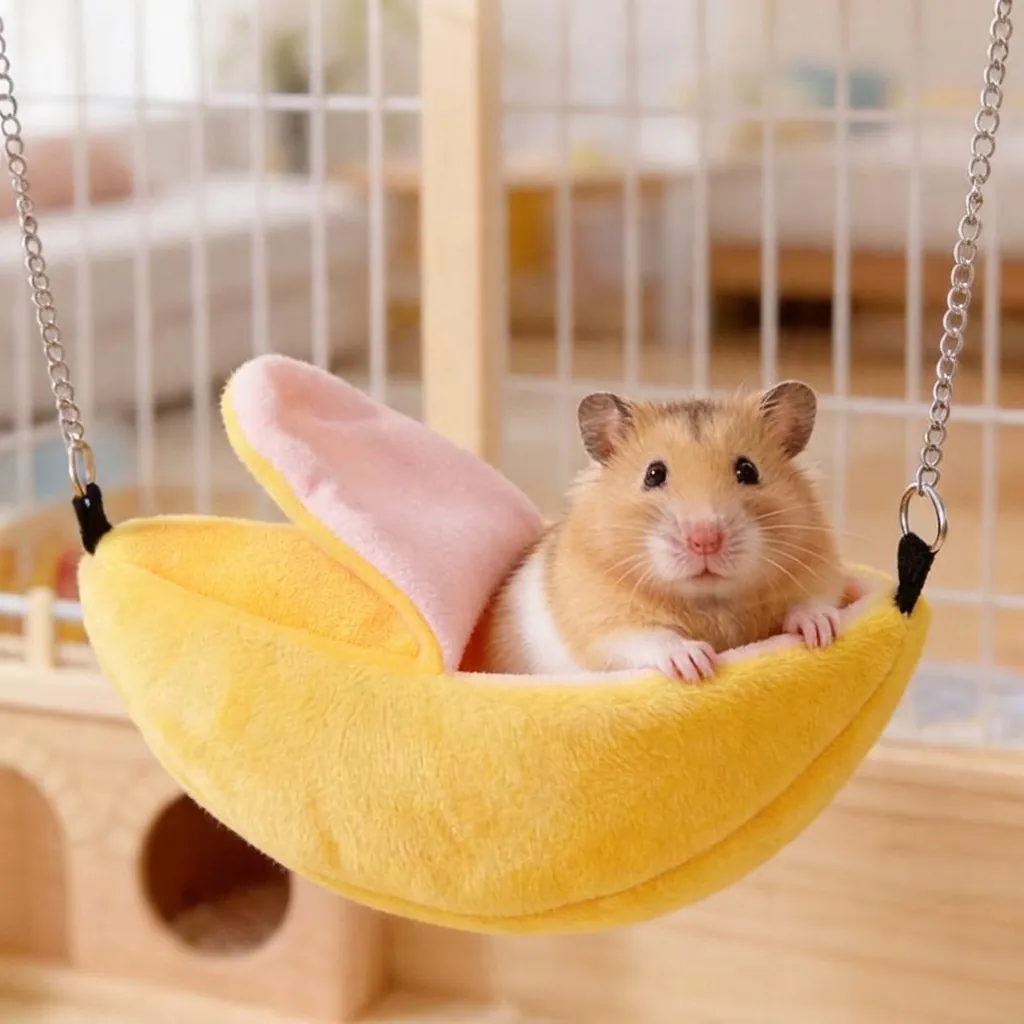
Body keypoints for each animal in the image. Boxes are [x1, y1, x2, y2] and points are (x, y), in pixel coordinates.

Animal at [482, 380, 846, 683]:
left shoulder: (820, 571)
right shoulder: (605, 625)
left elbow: (815, 601)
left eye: (748, 470)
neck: (709, 601)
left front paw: (821, 633)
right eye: (653, 474)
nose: (705, 541)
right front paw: (697, 664)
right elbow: (649, 638)